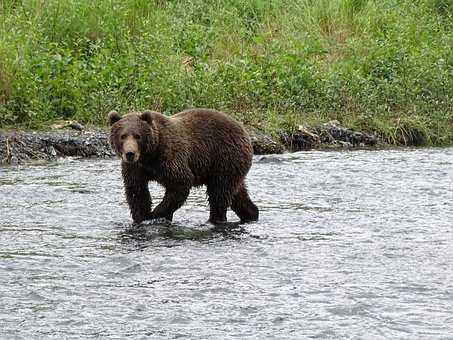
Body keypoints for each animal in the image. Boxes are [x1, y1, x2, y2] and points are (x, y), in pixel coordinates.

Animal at [107, 109, 258, 224]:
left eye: (137, 136)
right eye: (123, 136)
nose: (130, 154)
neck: (150, 155)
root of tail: (244, 130)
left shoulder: (169, 158)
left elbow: (180, 183)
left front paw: (155, 215)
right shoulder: (136, 168)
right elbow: (136, 191)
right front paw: (141, 217)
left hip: (225, 157)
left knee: (219, 192)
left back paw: (215, 220)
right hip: (230, 165)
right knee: (237, 193)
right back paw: (251, 214)